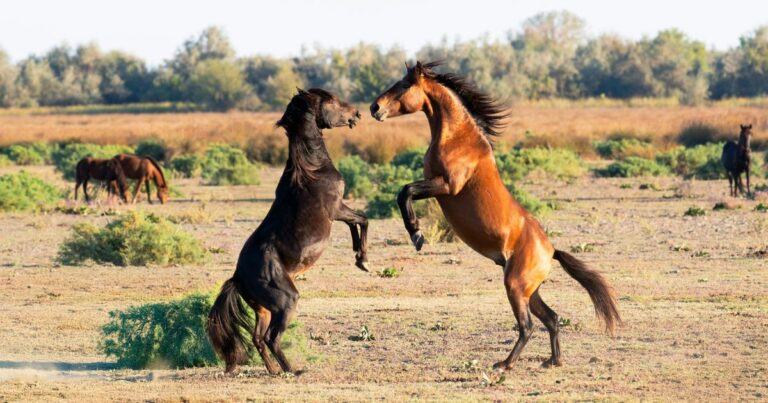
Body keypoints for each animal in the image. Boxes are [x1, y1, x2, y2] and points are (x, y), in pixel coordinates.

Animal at [207, 88, 367, 375]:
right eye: (331, 101)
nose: (357, 113)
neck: (312, 169)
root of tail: (238, 277)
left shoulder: (340, 212)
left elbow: (356, 223)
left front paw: (359, 257)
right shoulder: (337, 209)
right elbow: (362, 219)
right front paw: (363, 259)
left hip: (263, 309)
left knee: (258, 338)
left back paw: (274, 371)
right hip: (286, 301)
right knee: (271, 338)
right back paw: (293, 370)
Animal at [370, 61, 621, 372]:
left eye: (404, 85)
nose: (374, 107)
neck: (458, 138)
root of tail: (551, 251)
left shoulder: (446, 186)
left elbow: (405, 191)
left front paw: (417, 234)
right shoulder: (437, 186)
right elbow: (403, 192)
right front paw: (416, 233)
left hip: (515, 286)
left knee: (528, 326)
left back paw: (504, 364)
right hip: (529, 291)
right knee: (551, 318)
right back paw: (553, 361)